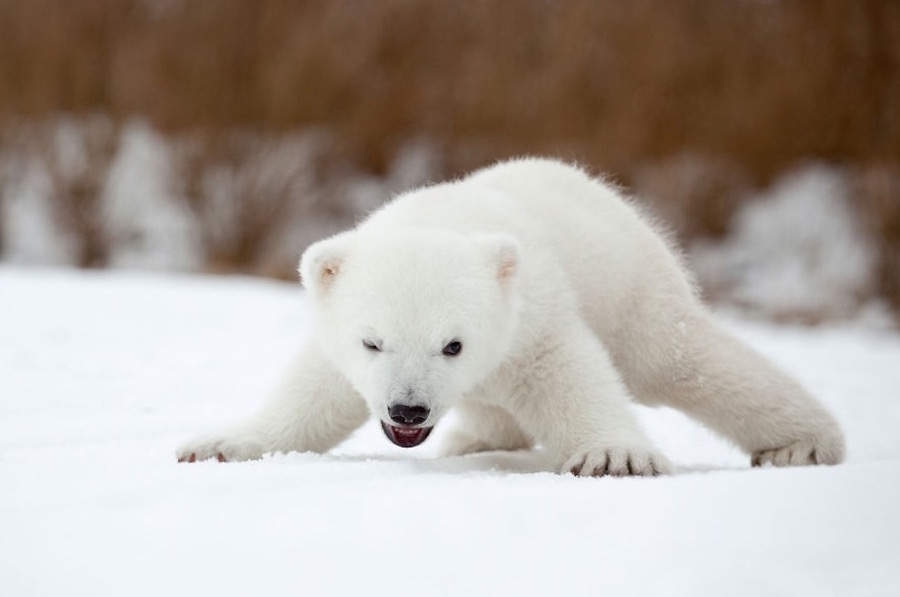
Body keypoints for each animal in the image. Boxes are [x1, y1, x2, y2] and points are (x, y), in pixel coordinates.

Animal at [177, 158, 845, 476]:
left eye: (453, 344)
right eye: (372, 343)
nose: (407, 410)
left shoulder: (534, 319)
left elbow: (572, 375)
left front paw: (614, 458)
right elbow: (313, 394)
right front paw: (218, 446)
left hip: (633, 289)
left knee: (686, 361)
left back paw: (803, 444)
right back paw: (475, 440)